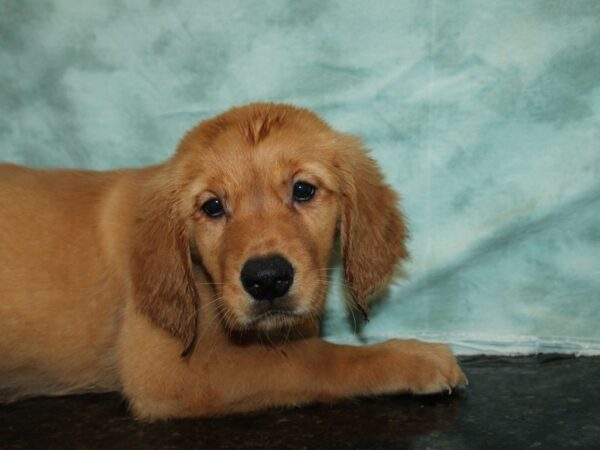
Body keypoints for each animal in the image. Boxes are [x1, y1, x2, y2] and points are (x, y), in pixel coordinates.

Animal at [0, 103, 464, 420]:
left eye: (303, 190)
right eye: (212, 207)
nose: (267, 279)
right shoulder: (167, 371)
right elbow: (316, 358)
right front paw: (412, 358)